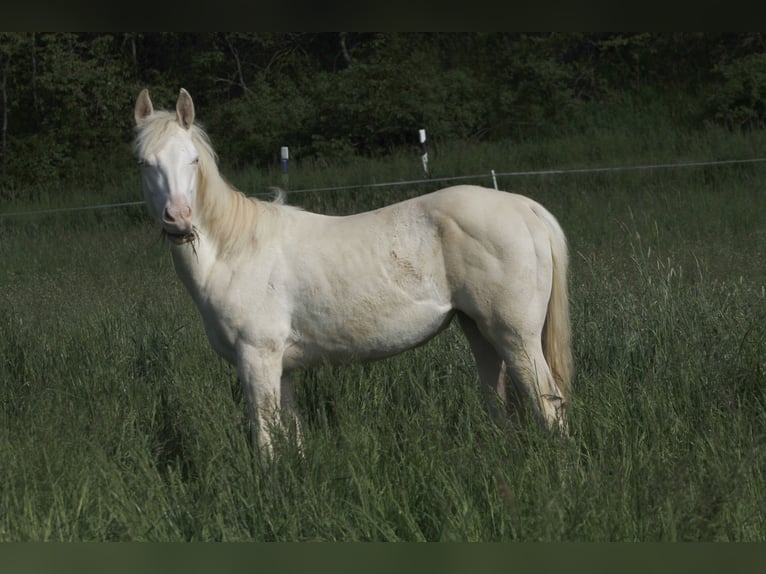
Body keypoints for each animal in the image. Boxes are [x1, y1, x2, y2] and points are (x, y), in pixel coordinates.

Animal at [133, 88, 574, 456]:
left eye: (193, 160)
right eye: (145, 164)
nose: (178, 218)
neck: (234, 252)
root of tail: (523, 207)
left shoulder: (257, 358)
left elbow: (266, 438)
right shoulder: (282, 368)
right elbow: (291, 437)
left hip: (516, 336)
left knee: (548, 404)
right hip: (479, 331)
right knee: (500, 401)